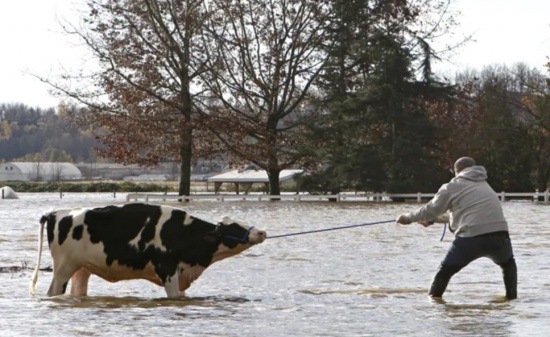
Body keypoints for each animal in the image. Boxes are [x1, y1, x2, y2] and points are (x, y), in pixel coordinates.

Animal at [29, 202, 268, 296]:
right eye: (235, 227)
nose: (262, 232)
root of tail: (55, 213)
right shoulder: (167, 270)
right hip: (62, 269)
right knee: (53, 292)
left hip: (81, 270)